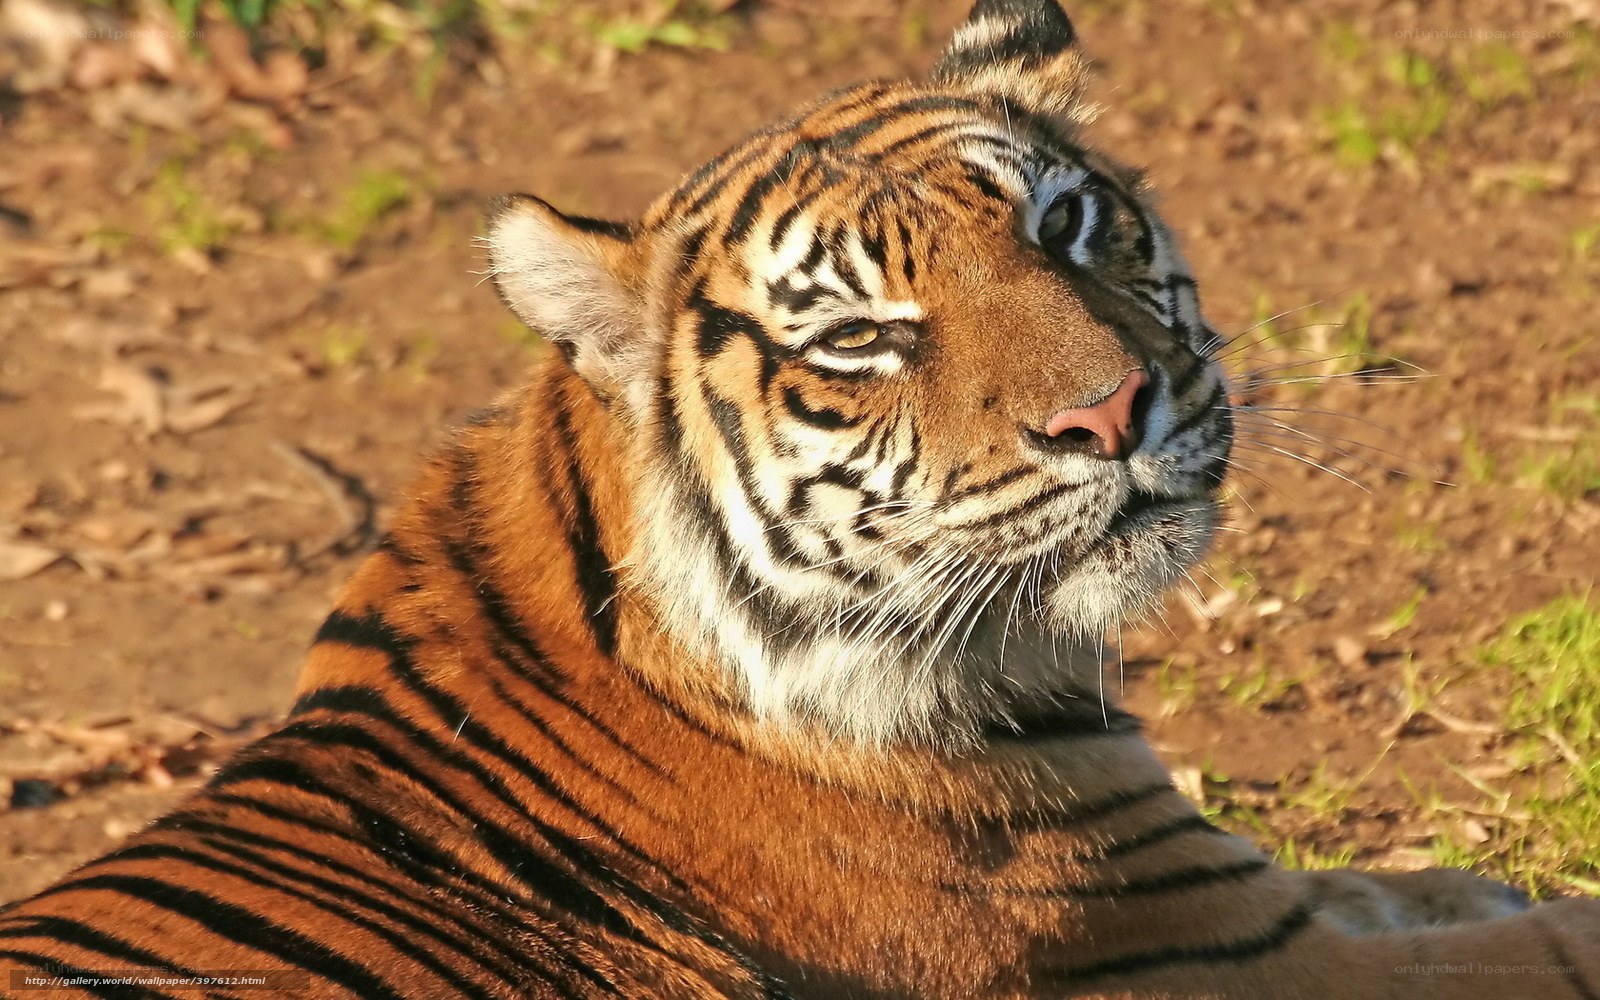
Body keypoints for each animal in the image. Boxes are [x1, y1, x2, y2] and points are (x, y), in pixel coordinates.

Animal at [4, 0, 1599, 996]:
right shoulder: (1212, 950)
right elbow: (1543, 937)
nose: (1108, 412)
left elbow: (1432, 883)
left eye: (1063, 219)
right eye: (859, 339)